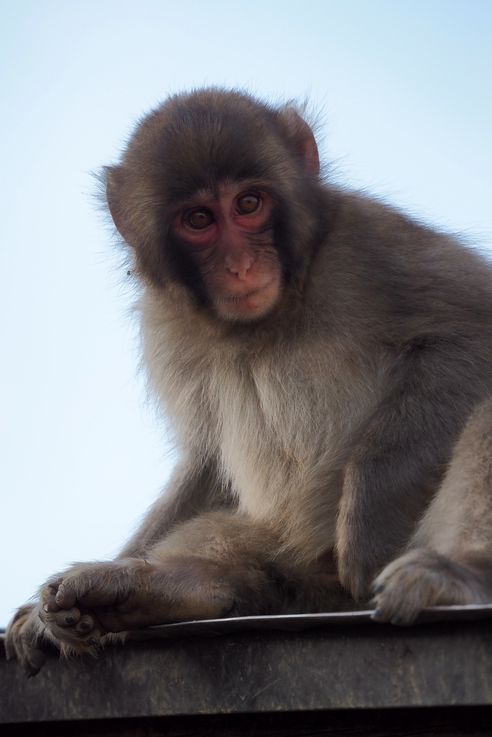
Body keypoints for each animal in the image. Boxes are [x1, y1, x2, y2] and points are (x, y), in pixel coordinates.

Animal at [6, 88, 492, 675]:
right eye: (198, 219)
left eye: (248, 204)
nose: (239, 265)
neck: (271, 313)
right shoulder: (166, 323)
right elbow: (207, 461)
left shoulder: (365, 243)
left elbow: (469, 334)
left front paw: (367, 527)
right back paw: (168, 589)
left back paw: (460, 577)